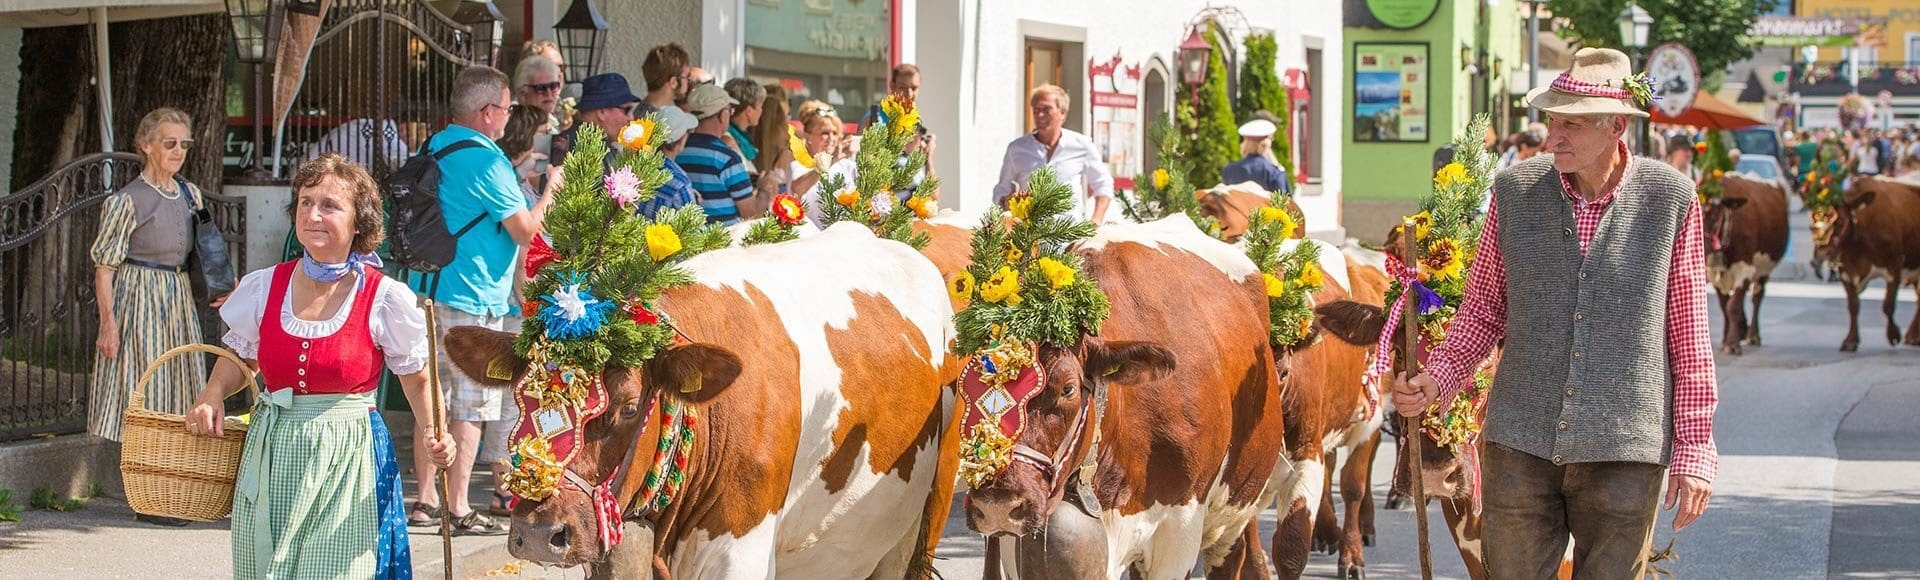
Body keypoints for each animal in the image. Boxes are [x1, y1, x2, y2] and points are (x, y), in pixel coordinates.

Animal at [1704, 171, 1789, 353]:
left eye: (1714, 215)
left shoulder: (1744, 269)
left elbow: (1733, 306)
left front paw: (1732, 344)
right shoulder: (1713, 272)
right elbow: (1724, 305)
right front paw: (1726, 339)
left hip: (1764, 269)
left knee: (1757, 297)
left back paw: (1753, 335)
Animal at [1820, 175, 1920, 349]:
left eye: (1839, 222)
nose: (1824, 252)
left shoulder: (1895, 266)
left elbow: (1888, 305)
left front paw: (1893, 335)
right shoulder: (1846, 271)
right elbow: (1853, 305)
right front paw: (1850, 340)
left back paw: (1913, 336)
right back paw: (1913, 335)